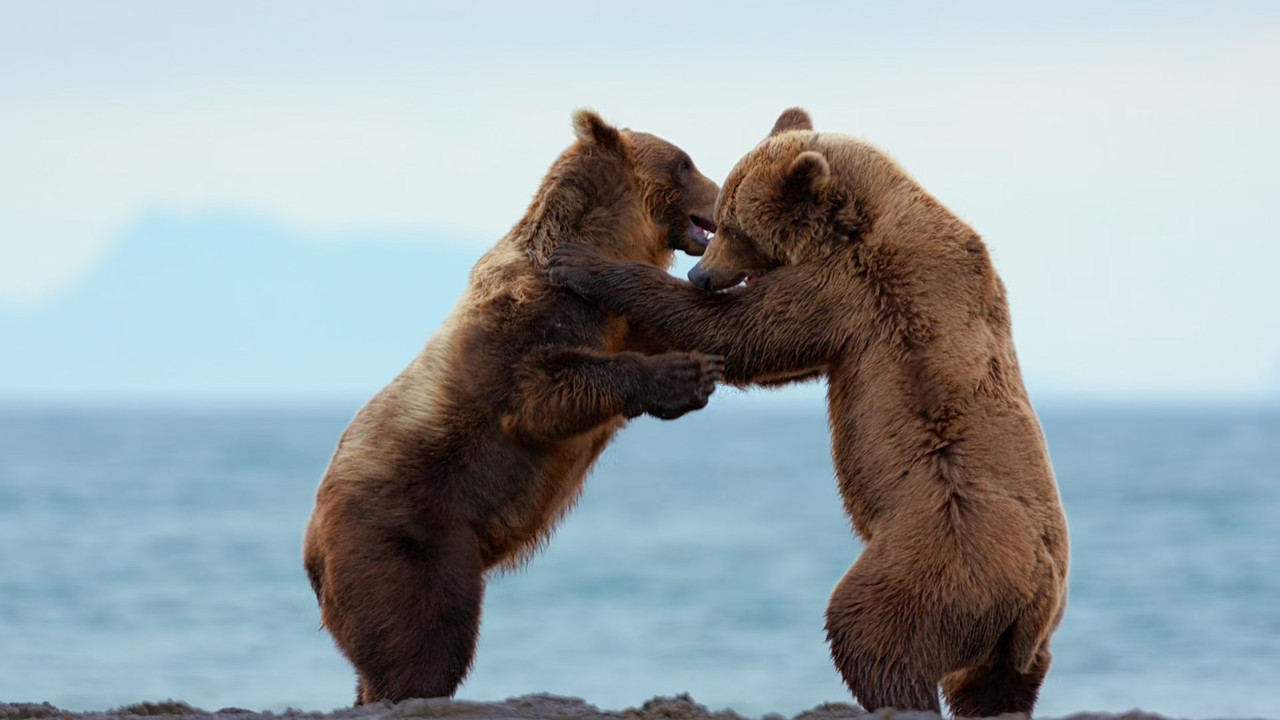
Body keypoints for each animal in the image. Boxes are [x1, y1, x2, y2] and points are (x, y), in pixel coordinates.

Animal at [302, 110, 725, 705]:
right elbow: (544, 395)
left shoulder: (618, 318)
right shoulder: (526, 325)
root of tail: (311, 548)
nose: (723, 193)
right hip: (404, 539)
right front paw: (684, 376)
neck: (609, 239)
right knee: (422, 641)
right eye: (685, 163)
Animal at [547, 108, 1069, 717]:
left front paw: (581, 262)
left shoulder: (853, 290)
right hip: (1011, 638)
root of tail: (1035, 596)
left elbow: (747, 332)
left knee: (874, 633)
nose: (701, 274)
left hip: (941, 554)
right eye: (721, 218)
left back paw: (891, 694)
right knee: (993, 685)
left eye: (737, 227)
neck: (857, 222)